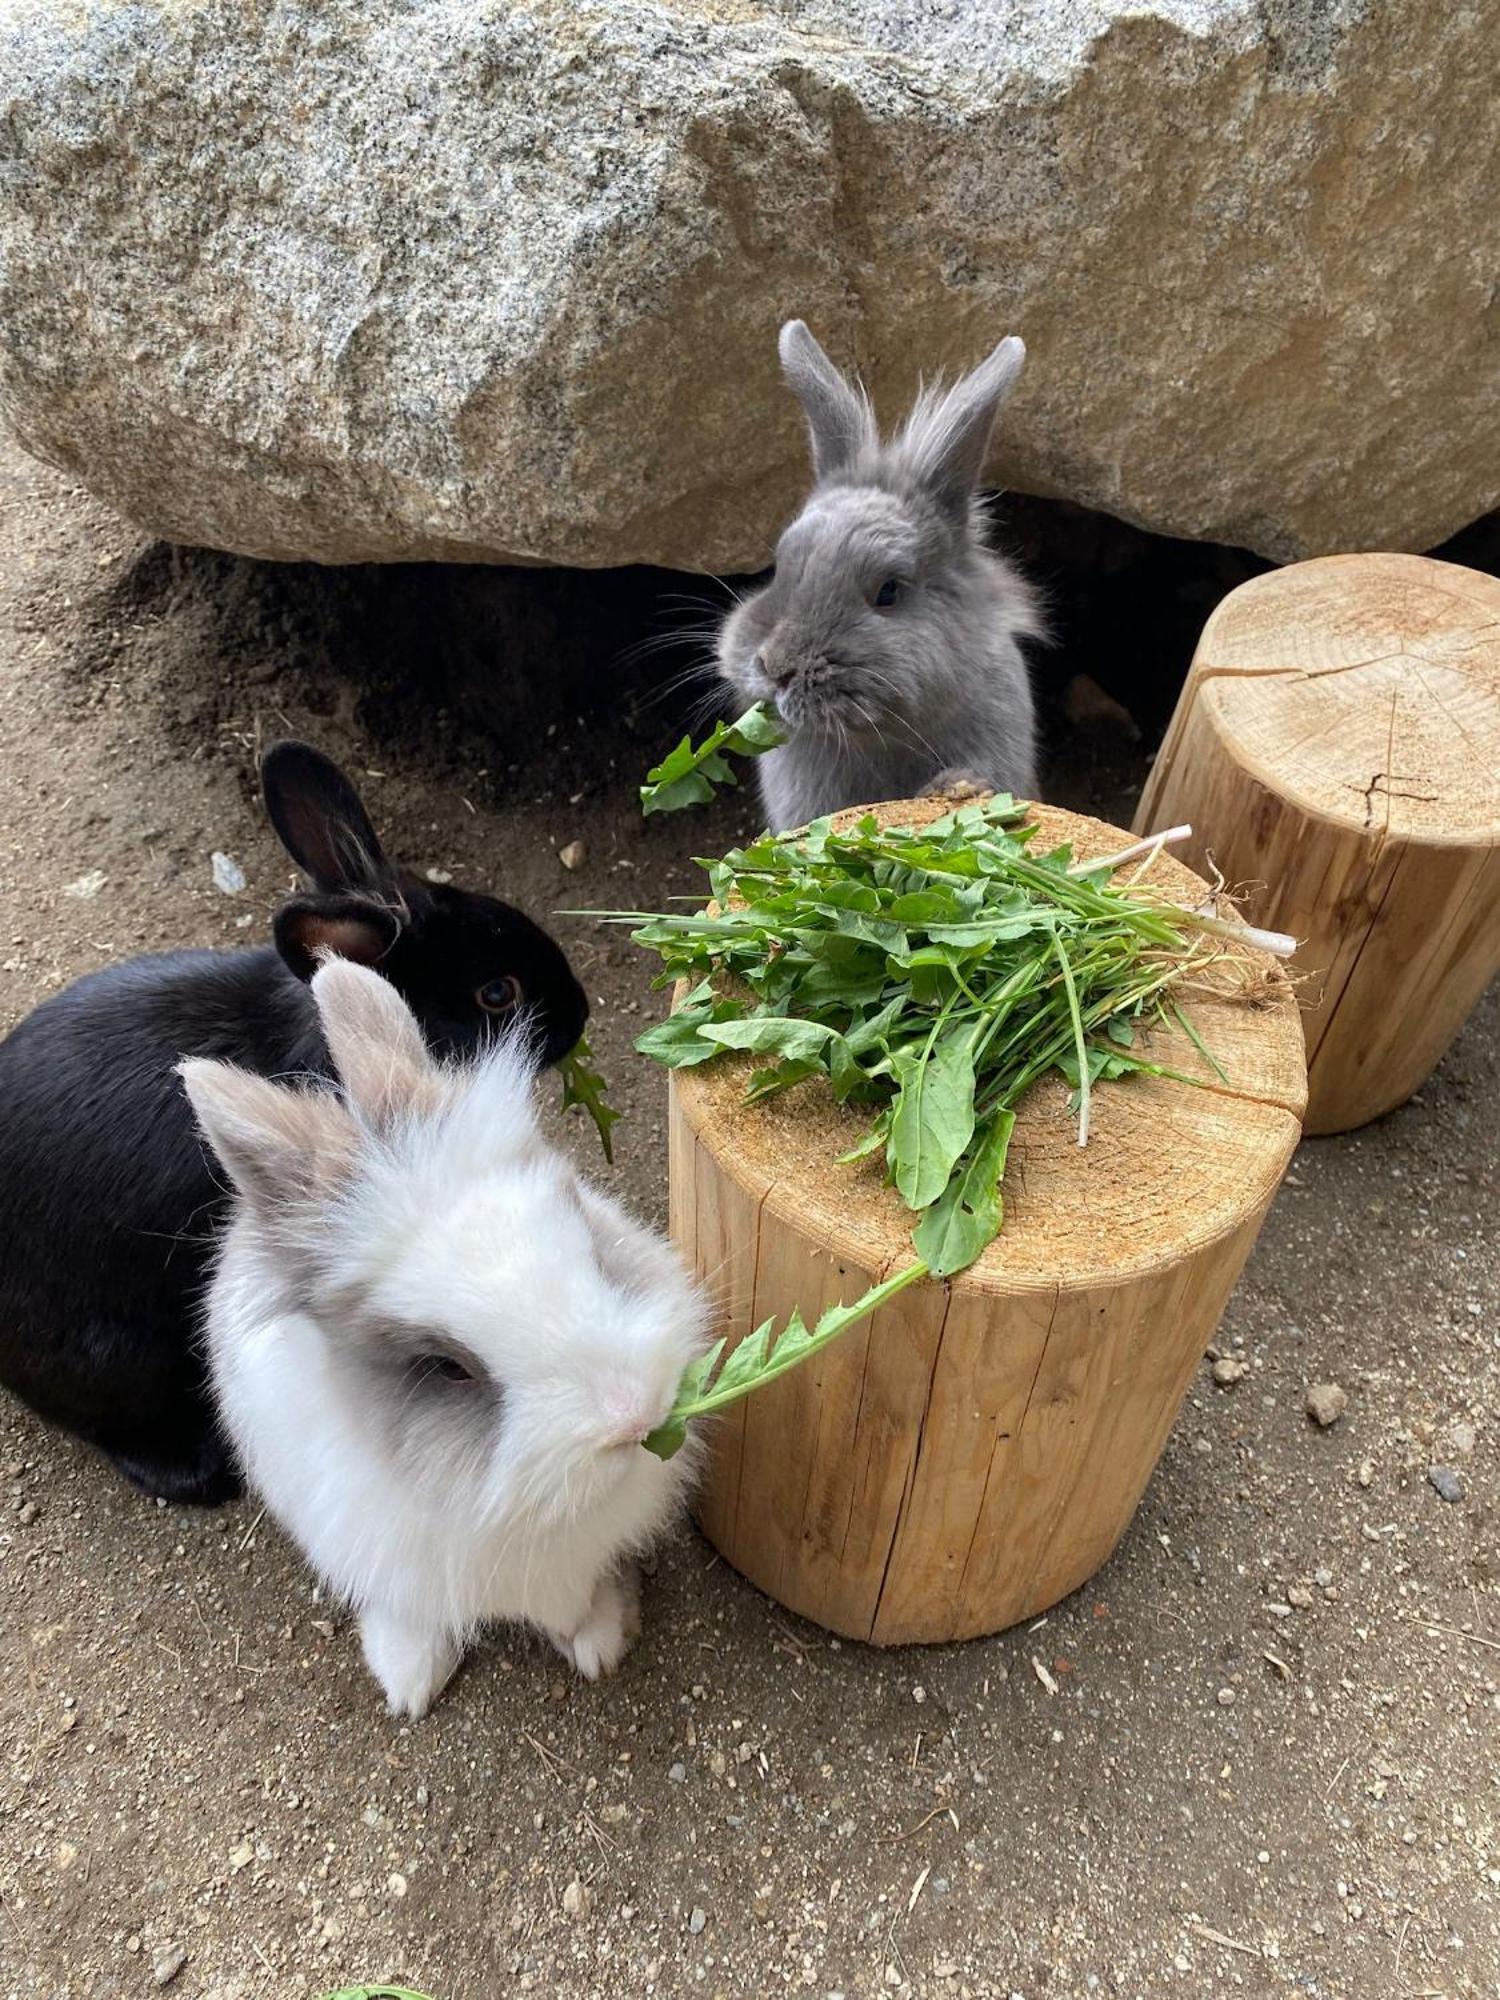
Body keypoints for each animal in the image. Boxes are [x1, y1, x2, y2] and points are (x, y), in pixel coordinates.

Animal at [182, 960, 712, 1712]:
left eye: (587, 1239)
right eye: (445, 1368)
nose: (633, 1415)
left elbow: (573, 1603)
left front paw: (599, 1642)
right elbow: (411, 1610)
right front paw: (408, 1682)